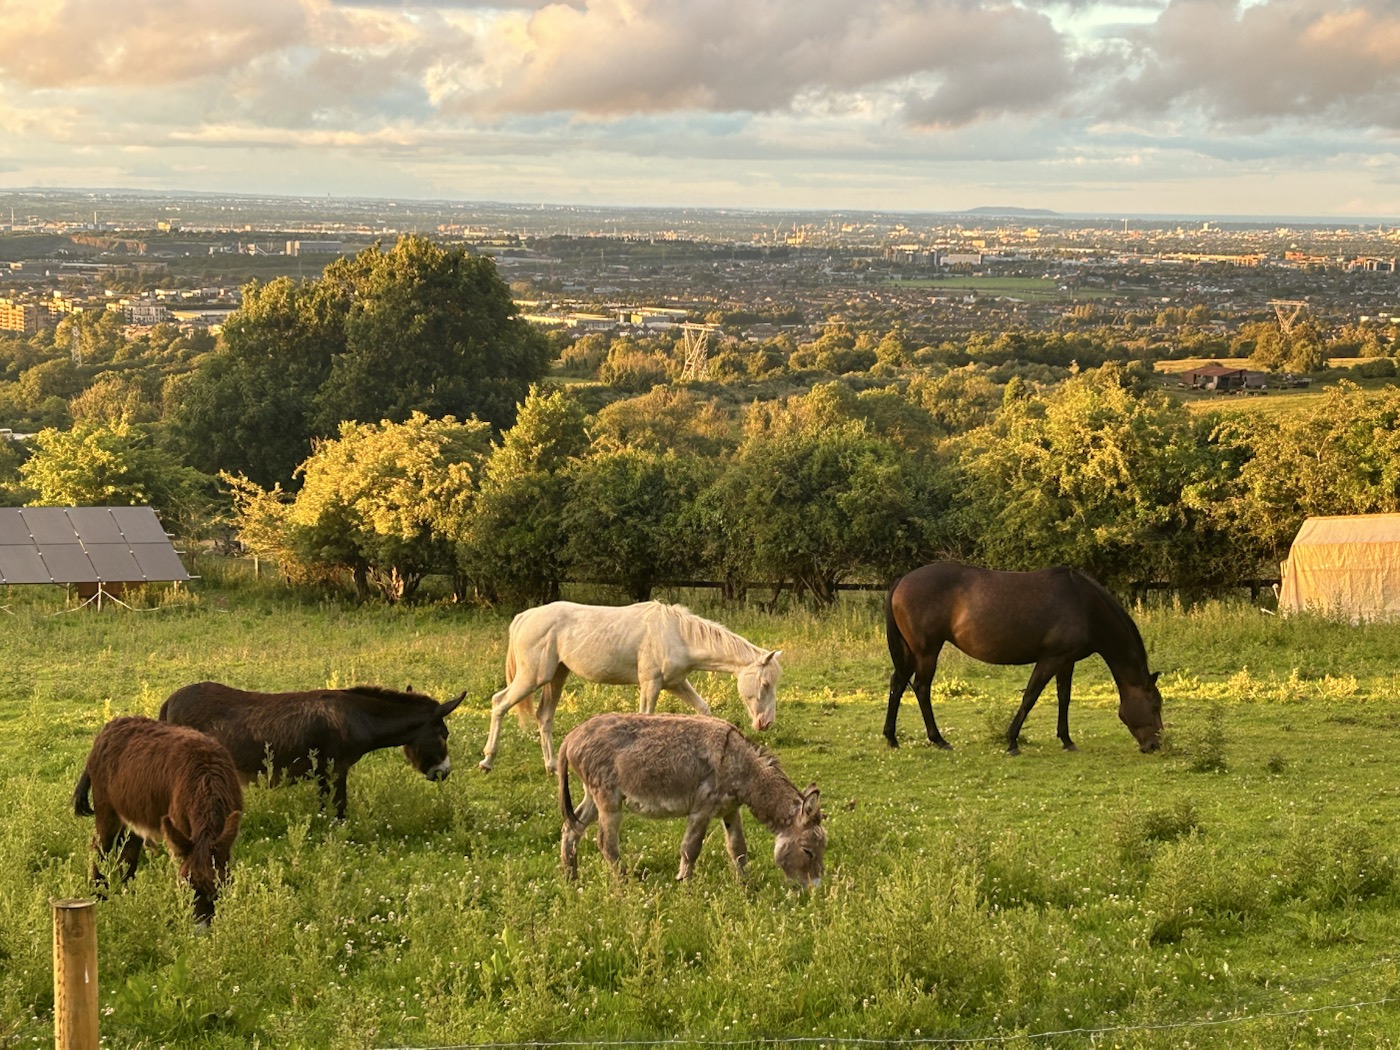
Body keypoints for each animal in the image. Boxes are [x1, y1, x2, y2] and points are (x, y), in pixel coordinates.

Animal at [73, 716, 243, 925]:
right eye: (184, 889)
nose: (200, 928)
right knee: (99, 847)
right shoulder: (181, 830)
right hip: (106, 808)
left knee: (127, 853)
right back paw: (99, 893)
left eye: (219, 889)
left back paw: (127, 894)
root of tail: (110, 726)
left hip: (134, 814)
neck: (206, 781)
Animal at [159, 682, 466, 819]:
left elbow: (323, 808)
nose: (445, 773)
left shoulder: (323, 773)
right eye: (444, 734)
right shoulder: (337, 768)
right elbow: (340, 810)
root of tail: (170, 700)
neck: (357, 718)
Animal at [479, 600, 782, 774]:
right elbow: (646, 719)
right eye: (765, 683)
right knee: (499, 703)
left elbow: (703, 710)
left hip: (555, 677)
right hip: (533, 677)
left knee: (544, 717)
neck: (678, 635)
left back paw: (552, 766)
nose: (765, 722)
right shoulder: (651, 684)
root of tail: (524, 617)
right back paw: (487, 761)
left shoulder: (676, 683)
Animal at [557, 712, 825, 887]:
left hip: (593, 796)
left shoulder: (730, 810)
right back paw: (626, 883)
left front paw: (746, 885)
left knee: (572, 827)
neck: (741, 765)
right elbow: (691, 849)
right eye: (808, 851)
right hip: (608, 798)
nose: (814, 891)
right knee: (606, 842)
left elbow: (738, 848)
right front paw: (685, 884)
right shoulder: (701, 810)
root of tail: (570, 738)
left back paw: (571, 877)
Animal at [884, 562, 1164, 754]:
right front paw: (1012, 742)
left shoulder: (1067, 660)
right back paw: (938, 739)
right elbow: (1030, 696)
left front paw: (1067, 740)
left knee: (897, 684)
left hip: (910, 651)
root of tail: (902, 581)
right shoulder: (1051, 658)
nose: (1155, 745)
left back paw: (892, 738)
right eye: (1155, 706)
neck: (1084, 606)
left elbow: (1064, 697)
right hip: (927, 651)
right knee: (921, 688)